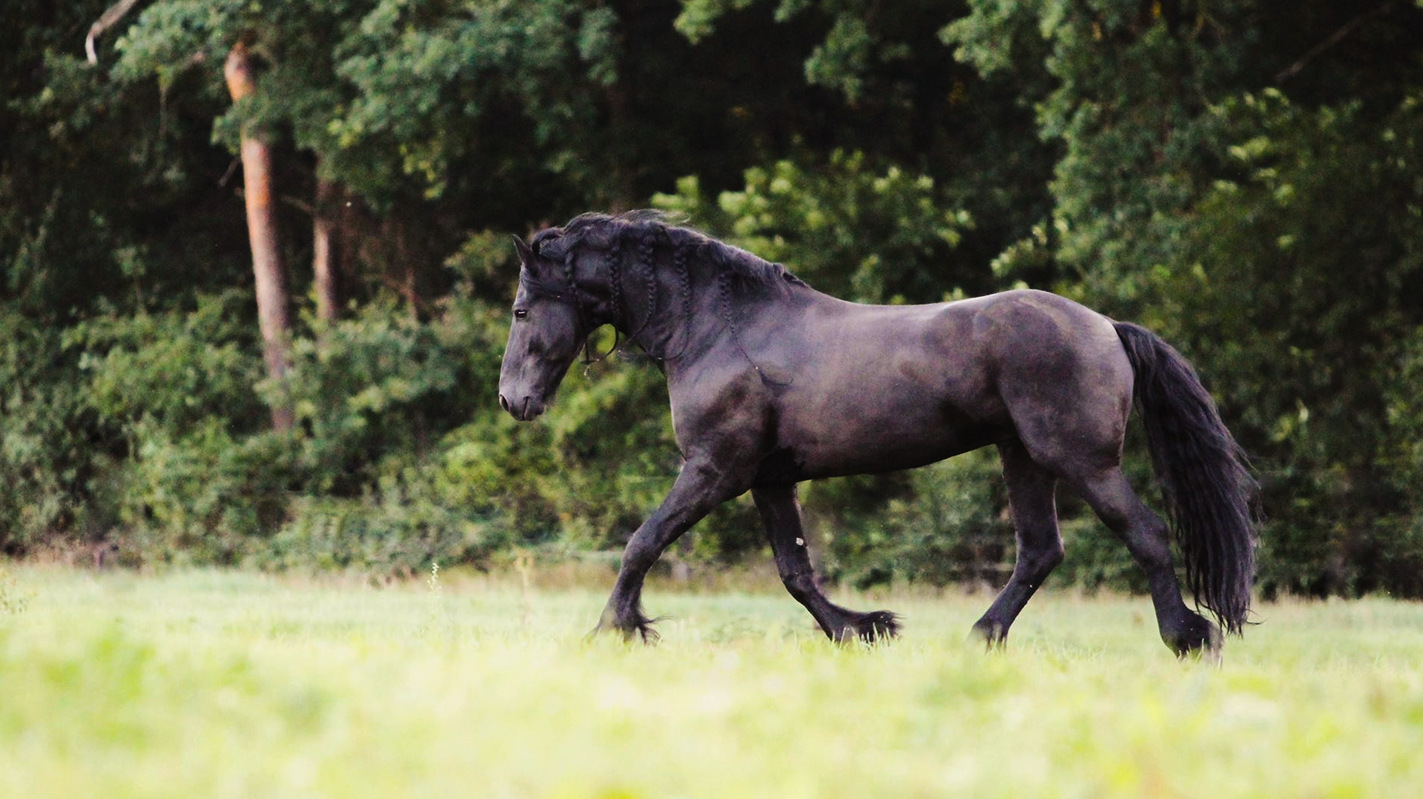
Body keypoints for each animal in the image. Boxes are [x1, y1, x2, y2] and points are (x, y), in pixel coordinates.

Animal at [497, 211, 1258, 657]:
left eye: (521, 308)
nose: (513, 399)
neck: (718, 328)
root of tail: (1107, 326)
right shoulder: (768, 480)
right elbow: (795, 573)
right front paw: (862, 627)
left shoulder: (714, 469)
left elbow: (642, 542)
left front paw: (612, 629)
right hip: (1023, 456)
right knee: (1040, 551)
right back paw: (978, 637)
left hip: (1080, 460)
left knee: (1144, 534)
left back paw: (1187, 637)